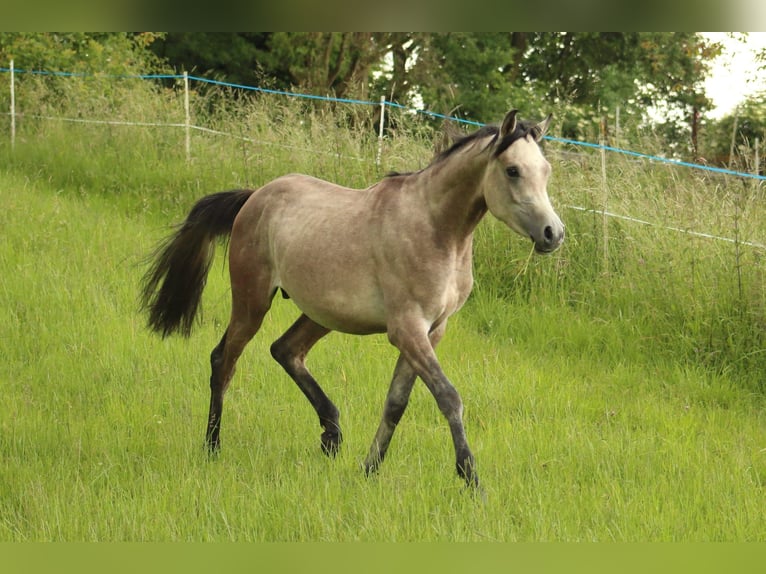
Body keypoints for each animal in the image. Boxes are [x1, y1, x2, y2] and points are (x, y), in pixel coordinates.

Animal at [142, 110, 564, 488]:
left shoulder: (431, 331)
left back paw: (331, 434)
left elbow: (396, 403)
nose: (553, 234)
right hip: (252, 301)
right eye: (513, 170)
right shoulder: (407, 329)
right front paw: (471, 478)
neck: (435, 228)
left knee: (285, 350)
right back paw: (213, 446)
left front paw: (369, 470)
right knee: (224, 361)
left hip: (319, 313)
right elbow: (448, 396)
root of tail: (254, 196)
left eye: (545, 170)